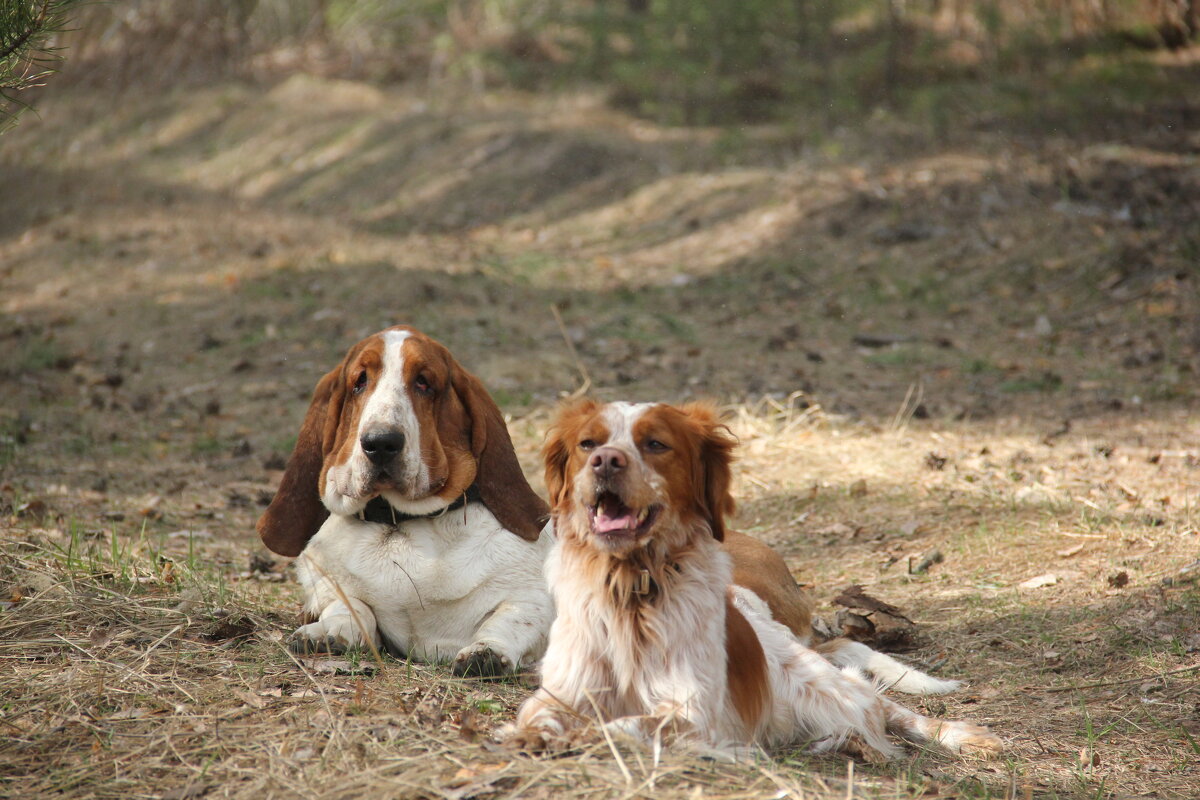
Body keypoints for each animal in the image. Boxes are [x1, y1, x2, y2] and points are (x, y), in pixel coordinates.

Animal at [256, 326, 552, 676]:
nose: (380, 443)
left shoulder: (532, 600)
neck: (399, 525)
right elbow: (350, 606)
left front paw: (486, 651)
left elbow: (510, 619)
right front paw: (327, 632)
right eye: (359, 381)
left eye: (423, 382)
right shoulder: (327, 588)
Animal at [506, 402, 1003, 762]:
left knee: (880, 704)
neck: (630, 589)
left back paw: (960, 735)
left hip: (815, 682)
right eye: (587, 442)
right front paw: (529, 736)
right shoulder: (565, 691)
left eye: (656, 443)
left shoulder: (692, 712)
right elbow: (544, 715)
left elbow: (623, 725)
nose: (605, 460)